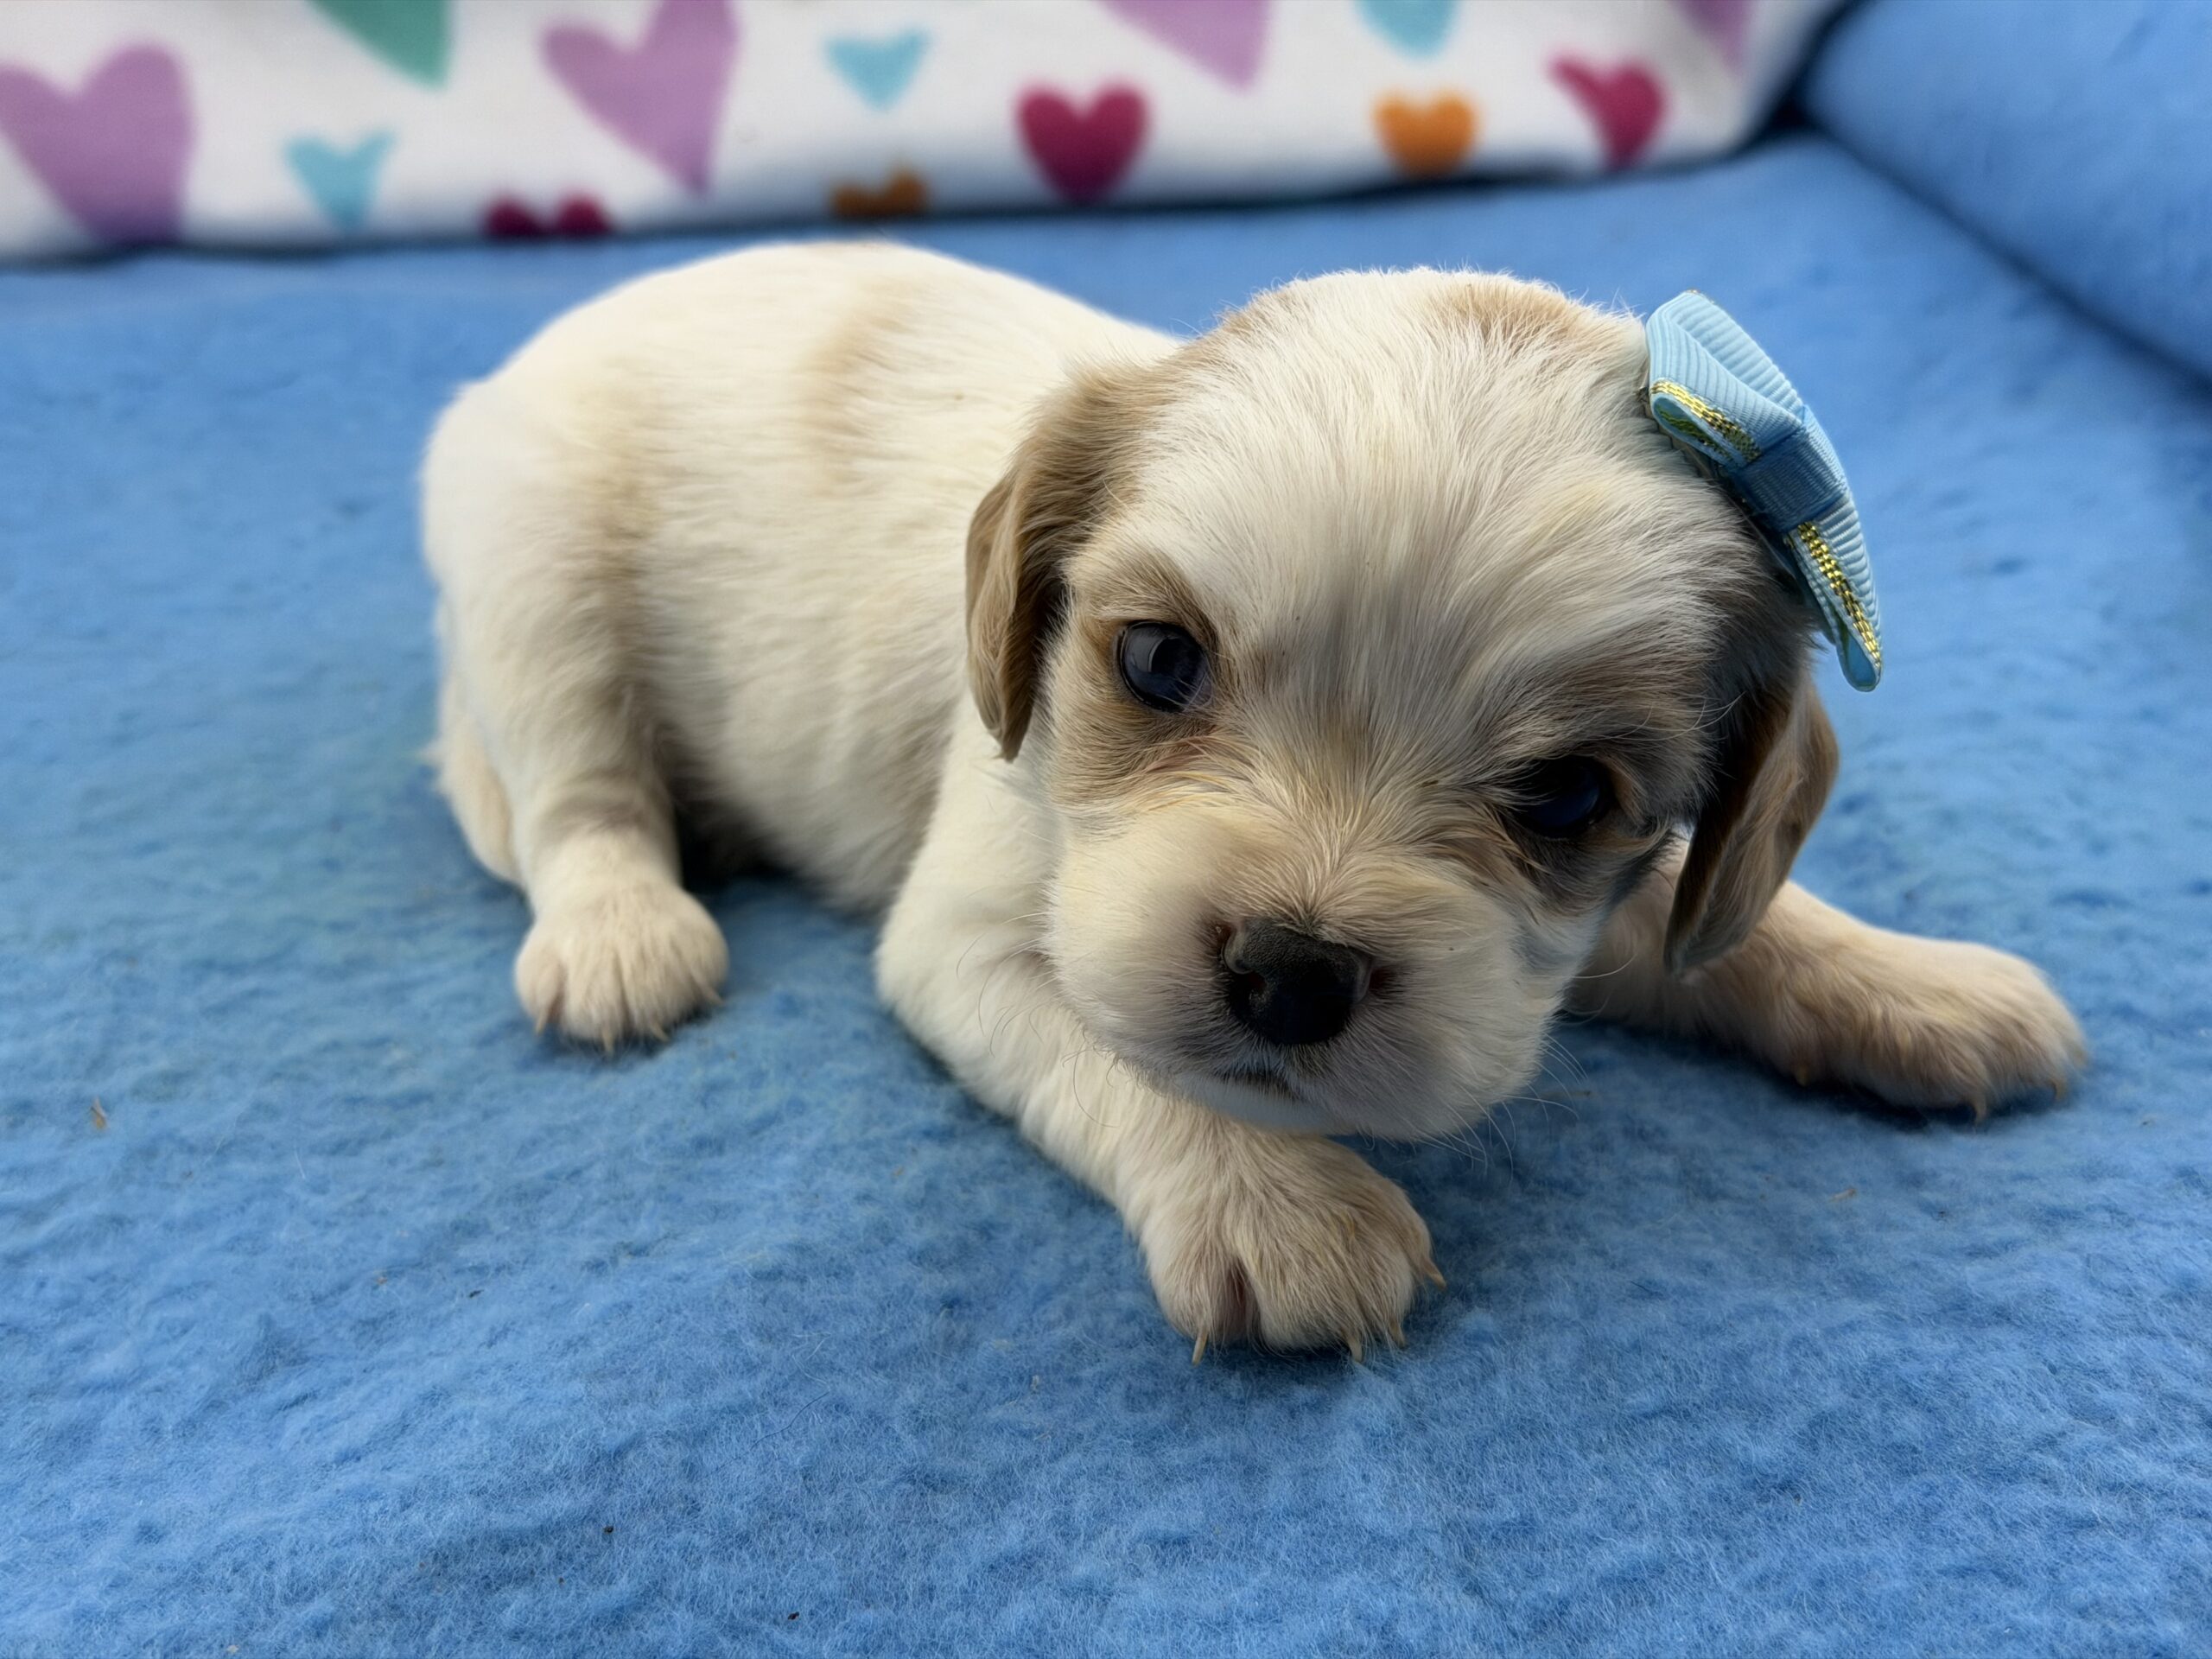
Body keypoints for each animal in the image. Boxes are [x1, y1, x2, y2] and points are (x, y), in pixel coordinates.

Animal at [422, 243, 2084, 1355]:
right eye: (1160, 659)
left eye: (1565, 796)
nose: (1293, 973)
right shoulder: (970, 936)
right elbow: (1126, 1054)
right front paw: (1280, 1206)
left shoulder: (1548, 941)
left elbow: (1720, 921)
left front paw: (1917, 986)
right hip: (537, 572)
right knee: (578, 794)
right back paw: (623, 930)